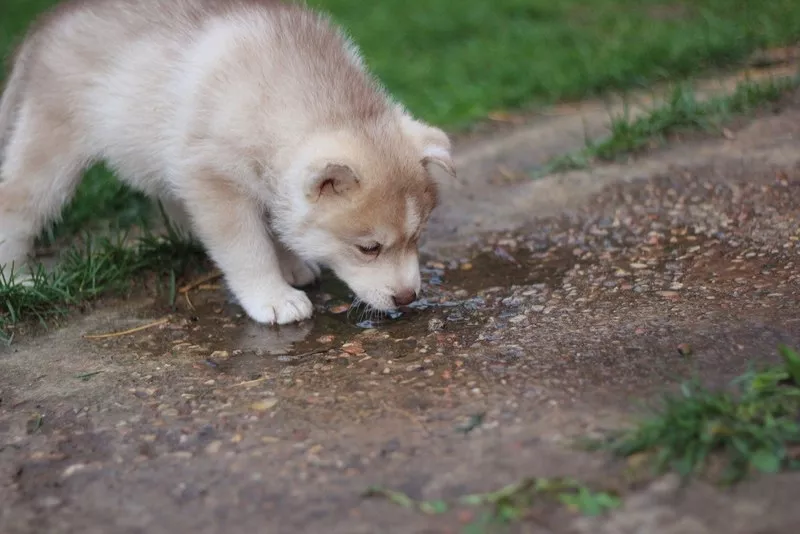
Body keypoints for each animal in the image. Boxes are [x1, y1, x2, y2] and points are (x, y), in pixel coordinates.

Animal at [0, 0, 454, 326]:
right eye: (368, 248)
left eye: (417, 237)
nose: (408, 298)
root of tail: (46, 24)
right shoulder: (215, 180)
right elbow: (247, 248)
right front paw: (273, 297)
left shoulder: (263, 178)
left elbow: (275, 224)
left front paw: (291, 263)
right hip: (52, 146)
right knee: (16, 202)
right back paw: (15, 278)